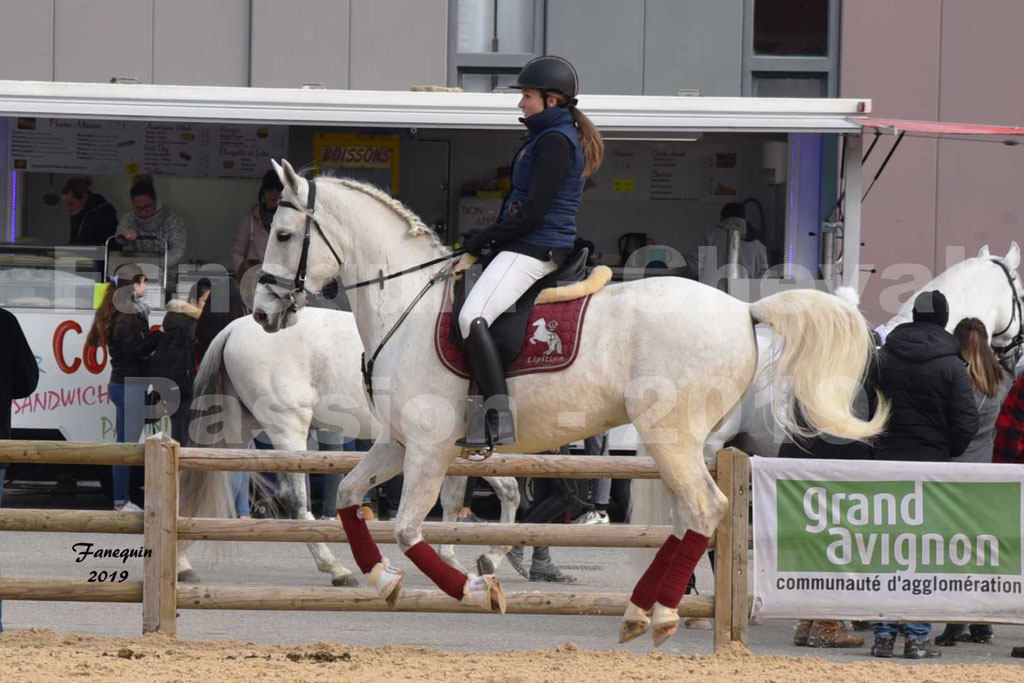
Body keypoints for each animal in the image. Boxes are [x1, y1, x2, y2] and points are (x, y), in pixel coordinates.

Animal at [178, 307, 520, 585]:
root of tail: (233, 328)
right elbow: (507, 491)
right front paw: (490, 557)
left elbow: (462, 500)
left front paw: (457, 560)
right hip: (287, 427)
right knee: (293, 499)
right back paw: (335, 568)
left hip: (237, 426)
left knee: (203, 479)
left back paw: (182, 561)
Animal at [245, 160, 880, 647]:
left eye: (283, 235)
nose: (262, 314)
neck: (409, 304)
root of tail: (744, 309)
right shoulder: (398, 442)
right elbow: (350, 497)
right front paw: (382, 581)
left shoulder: (428, 445)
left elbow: (406, 527)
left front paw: (475, 586)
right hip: (688, 441)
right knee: (687, 518)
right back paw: (639, 611)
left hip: (671, 436)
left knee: (703, 510)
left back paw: (661, 613)